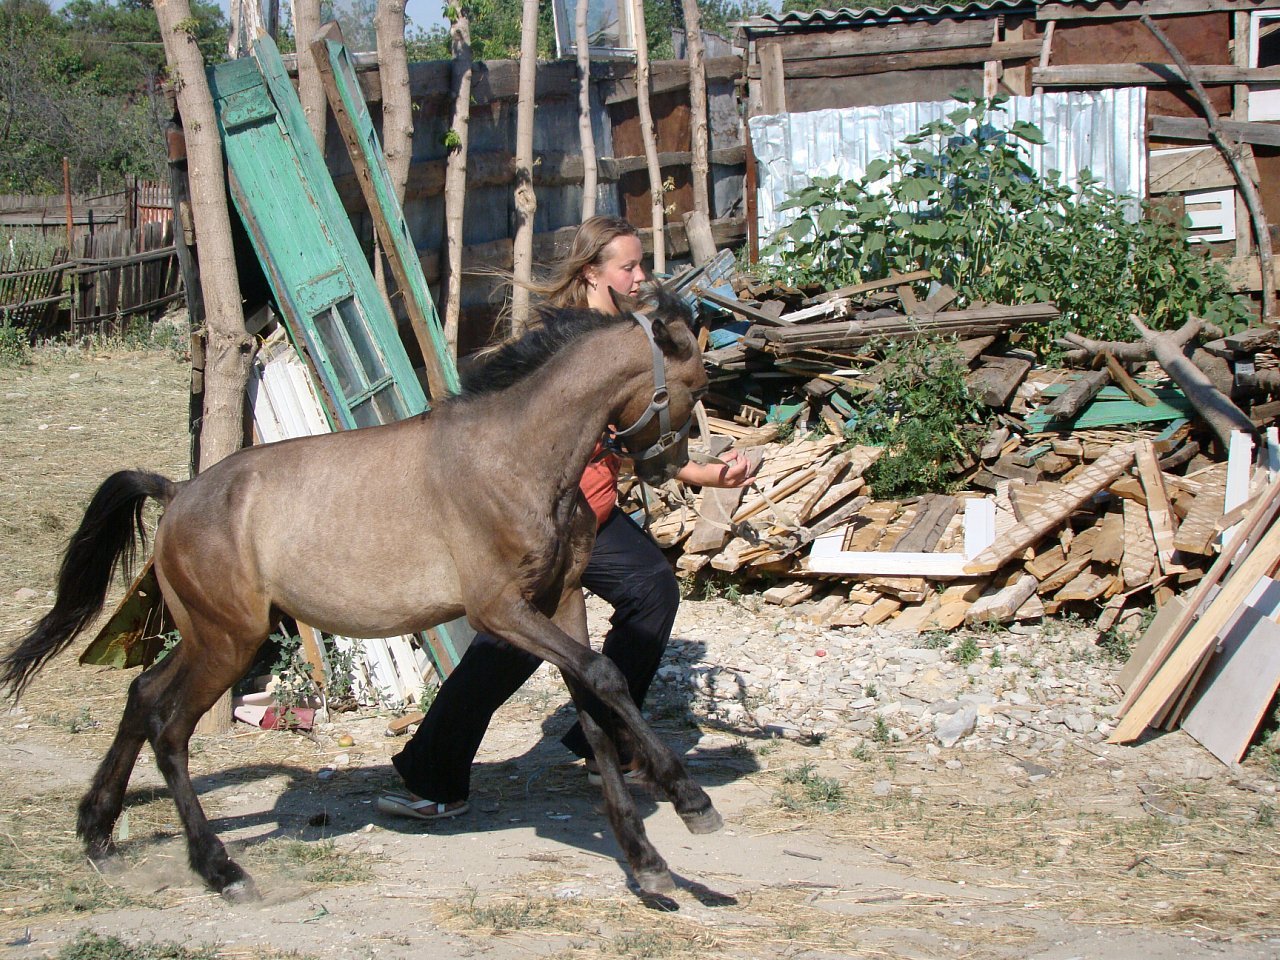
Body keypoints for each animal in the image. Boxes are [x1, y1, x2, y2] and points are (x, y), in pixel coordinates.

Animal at [0, 284, 721, 901]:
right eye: (697, 386)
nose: (677, 470)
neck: (513, 457)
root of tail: (177, 495)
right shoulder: (500, 610)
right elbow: (606, 677)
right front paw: (690, 799)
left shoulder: (561, 602)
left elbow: (597, 703)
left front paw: (647, 862)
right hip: (230, 641)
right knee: (168, 726)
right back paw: (220, 870)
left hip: (212, 635)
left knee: (141, 695)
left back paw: (98, 833)